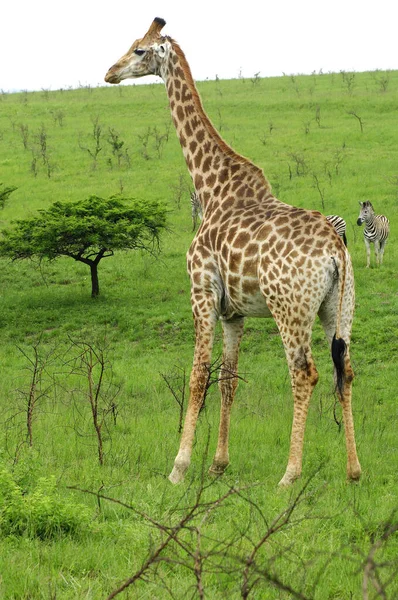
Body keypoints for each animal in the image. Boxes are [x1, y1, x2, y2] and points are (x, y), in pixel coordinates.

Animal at [105, 17, 360, 488]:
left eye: (139, 50)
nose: (110, 72)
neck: (211, 188)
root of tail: (336, 250)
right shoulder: (233, 312)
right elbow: (228, 380)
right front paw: (218, 464)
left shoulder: (201, 292)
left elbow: (197, 374)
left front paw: (179, 466)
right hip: (339, 306)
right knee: (345, 369)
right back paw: (353, 470)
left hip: (289, 308)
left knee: (305, 373)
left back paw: (289, 474)